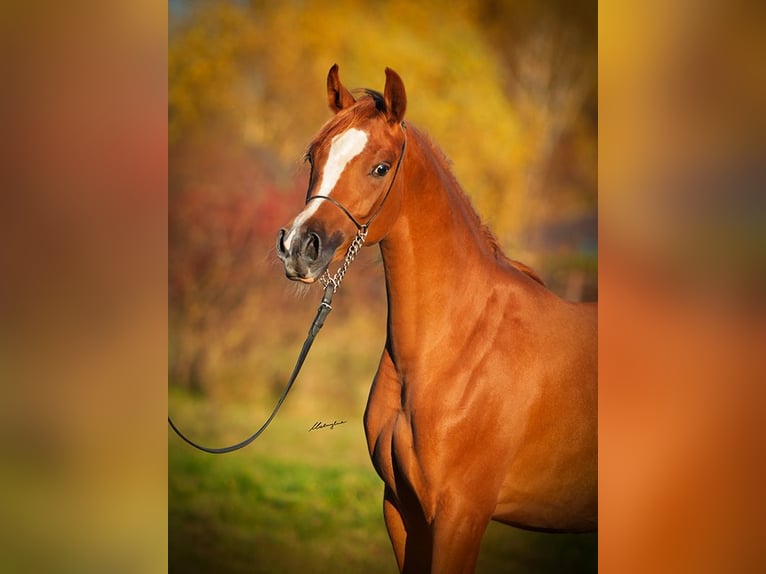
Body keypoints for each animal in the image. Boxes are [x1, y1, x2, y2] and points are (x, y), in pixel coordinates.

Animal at [276, 66, 600, 574]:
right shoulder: (401, 509)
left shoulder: (460, 515)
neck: (458, 347)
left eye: (381, 167)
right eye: (315, 156)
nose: (298, 247)